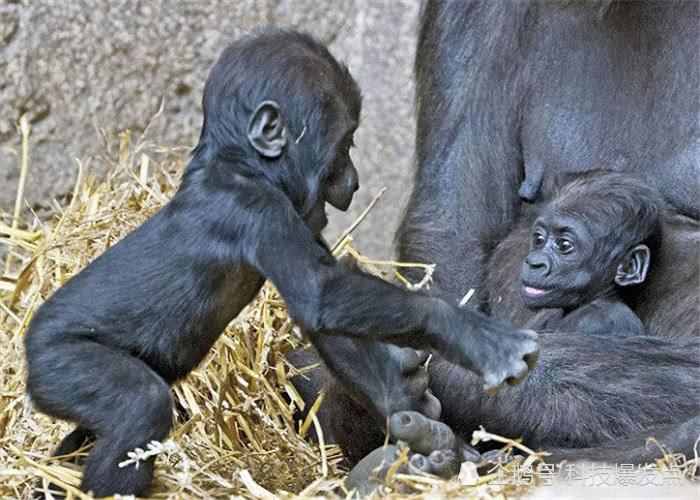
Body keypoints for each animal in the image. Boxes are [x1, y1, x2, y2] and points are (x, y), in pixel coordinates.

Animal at [21, 29, 536, 498]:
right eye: (345, 145)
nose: (353, 181)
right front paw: (470, 333)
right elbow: (320, 294)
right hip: (59, 359)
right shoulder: (259, 206)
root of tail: (27, 347)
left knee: (91, 433)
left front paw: (415, 421)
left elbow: (329, 318)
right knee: (137, 407)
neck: (239, 160)